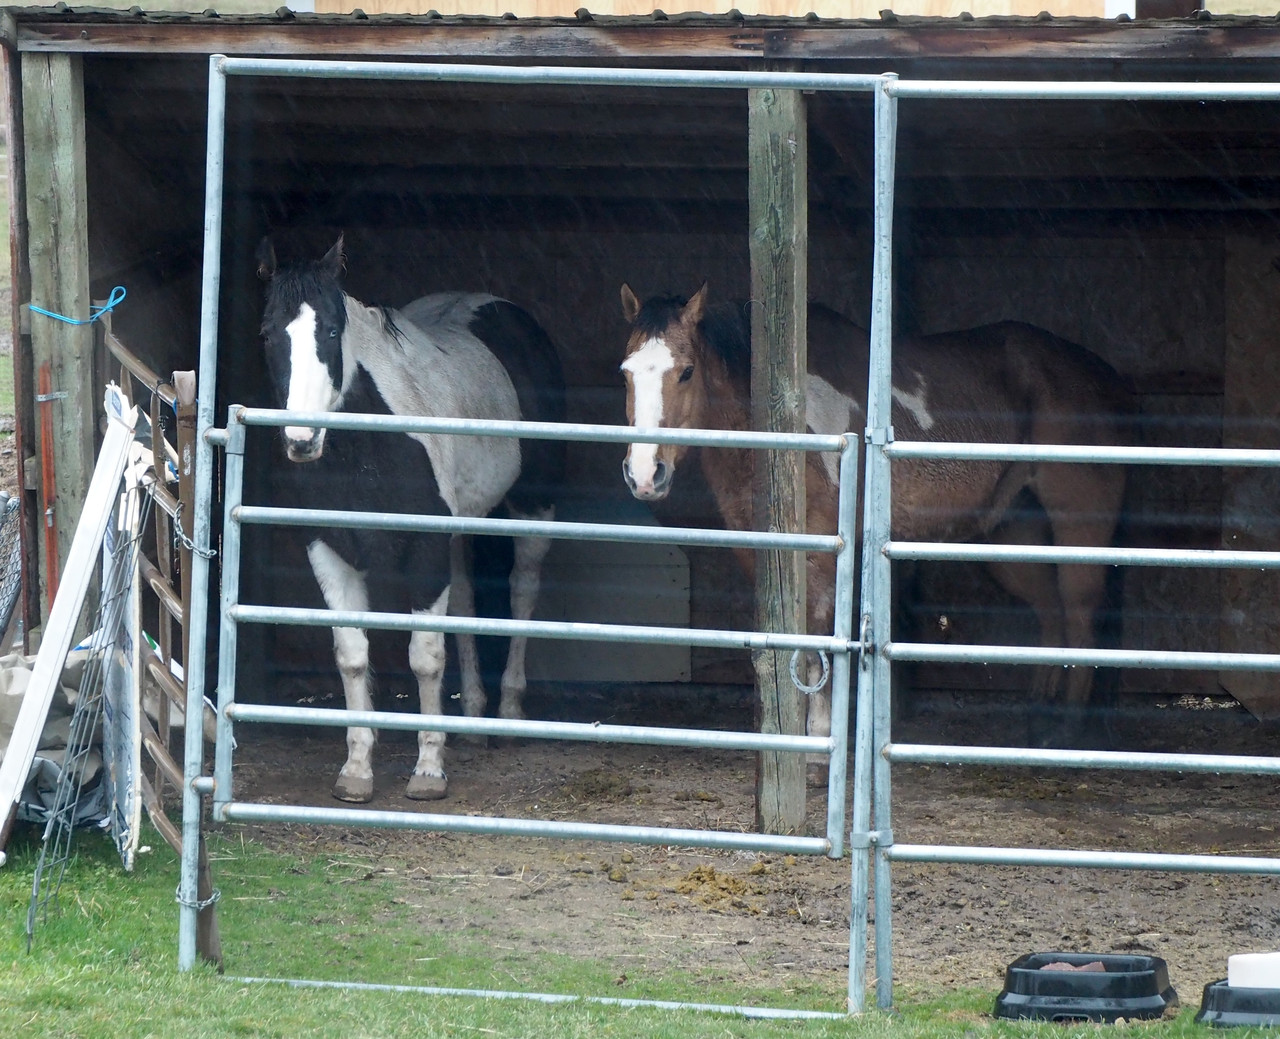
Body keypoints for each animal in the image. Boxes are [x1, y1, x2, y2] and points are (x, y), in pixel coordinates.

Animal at [256, 235, 565, 802]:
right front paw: (357, 769)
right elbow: (352, 654)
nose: (302, 441)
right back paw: (474, 721)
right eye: (268, 334)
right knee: (464, 602)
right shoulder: (329, 549)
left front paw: (428, 771)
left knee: (523, 592)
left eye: (330, 331)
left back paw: (510, 712)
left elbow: (424, 657)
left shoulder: (424, 550)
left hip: (533, 509)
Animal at [618, 283, 1133, 750]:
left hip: (1079, 525)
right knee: (1052, 613)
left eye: (686, 372)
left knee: (1080, 618)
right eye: (626, 373)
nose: (645, 473)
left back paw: (1066, 730)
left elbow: (816, 651)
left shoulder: (826, 557)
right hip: (1009, 535)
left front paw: (818, 744)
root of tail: (1108, 378)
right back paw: (1040, 721)